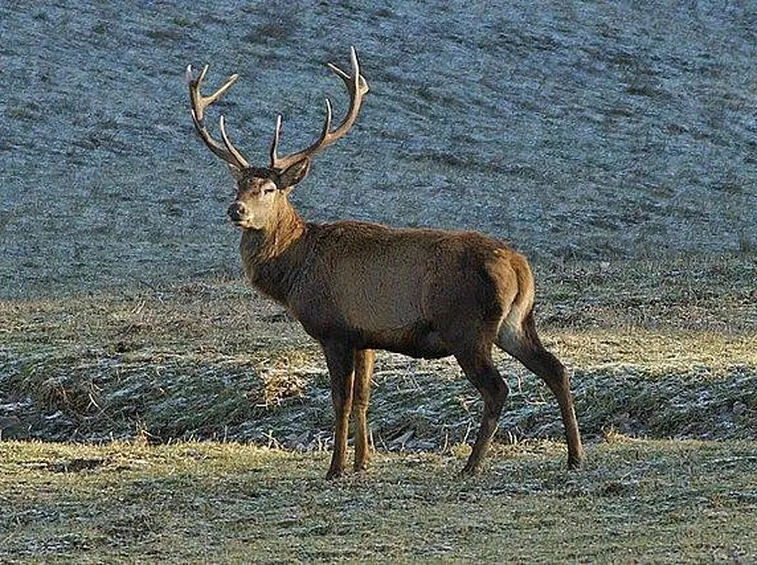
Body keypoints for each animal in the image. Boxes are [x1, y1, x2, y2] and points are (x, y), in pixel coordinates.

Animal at [186, 47, 585, 479]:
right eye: (238, 185)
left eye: (269, 188)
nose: (236, 210)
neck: (294, 270)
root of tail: (520, 267)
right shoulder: (366, 337)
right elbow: (363, 397)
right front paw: (363, 462)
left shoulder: (335, 329)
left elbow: (341, 400)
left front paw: (336, 468)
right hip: (515, 323)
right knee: (556, 368)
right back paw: (574, 456)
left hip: (466, 325)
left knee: (498, 388)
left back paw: (472, 464)